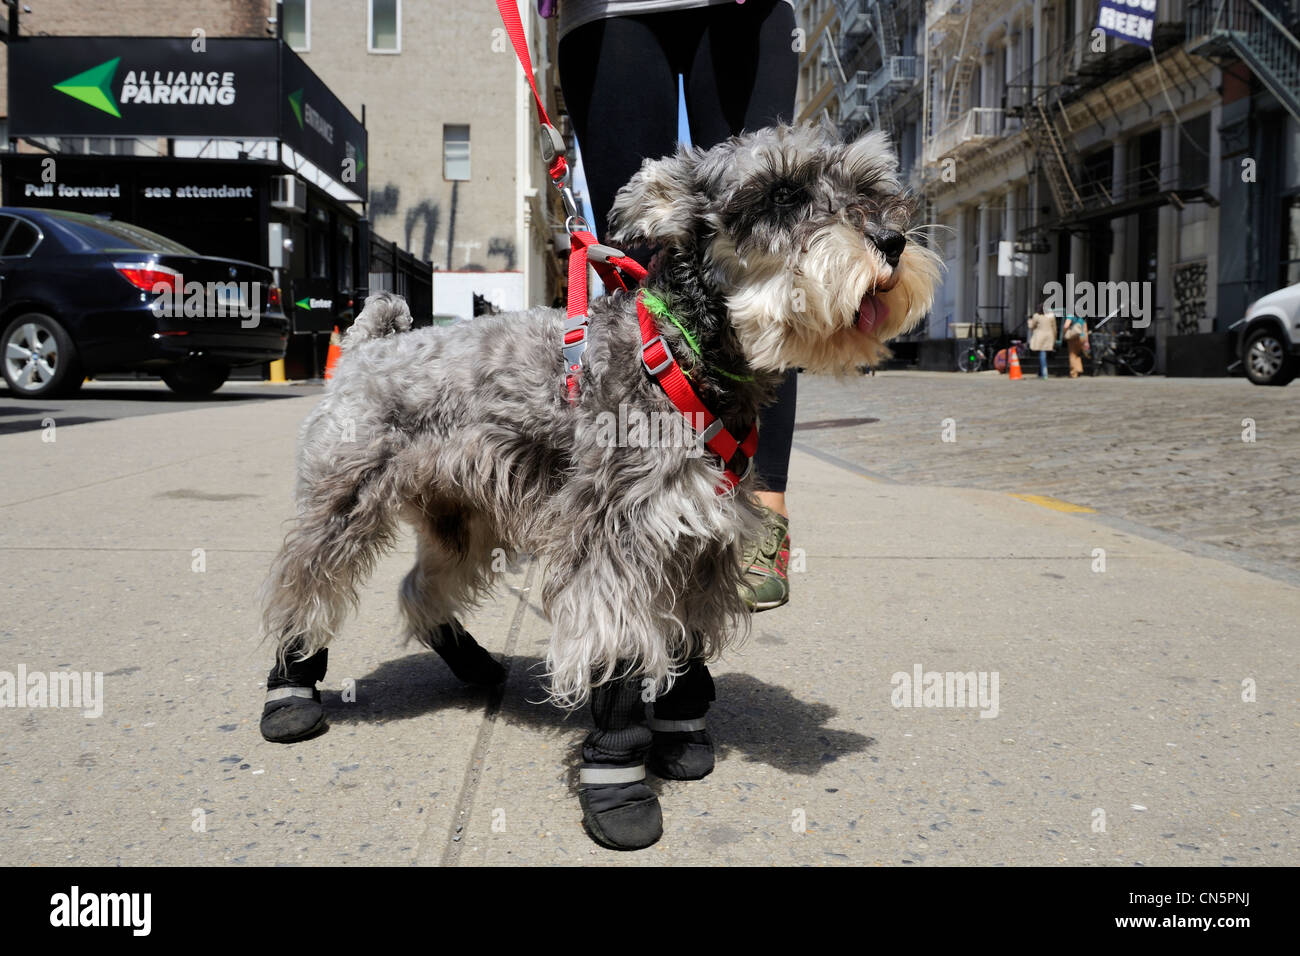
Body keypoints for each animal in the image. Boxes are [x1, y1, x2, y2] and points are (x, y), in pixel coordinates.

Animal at [258, 121, 941, 853]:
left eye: (871, 186)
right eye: (783, 195)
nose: (893, 241)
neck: (684, 357)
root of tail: (366, 345)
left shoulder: (699, 546)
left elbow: (683, 645)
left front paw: (681, 733)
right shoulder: (616, 546)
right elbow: (621, 653)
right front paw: (620, 788)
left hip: (460, 522)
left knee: (420, 587)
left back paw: (472, 662)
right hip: (342, 505)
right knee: (306, 588)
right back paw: (291, 689)